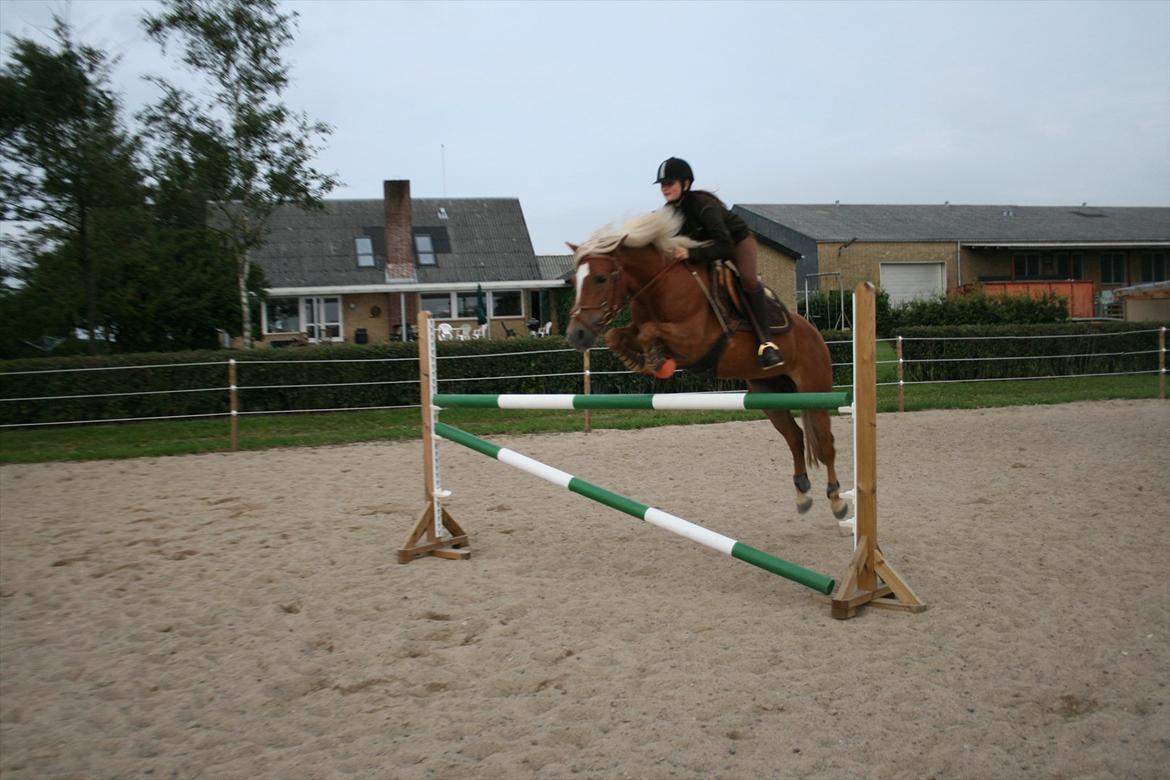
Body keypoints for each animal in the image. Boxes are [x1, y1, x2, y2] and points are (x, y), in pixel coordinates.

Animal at [561, 210, 847, 521]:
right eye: (575, 281)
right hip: (767, 391)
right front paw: (640, 359)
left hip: (815, 389)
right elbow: (618, 335)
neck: (659, 285)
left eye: (600, 278)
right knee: (795, 437)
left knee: (827, 444)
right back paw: (802, 493)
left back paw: (837, 500)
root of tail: (815, 333)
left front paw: (655, 361)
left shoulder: (694, 341)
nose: (576, 334)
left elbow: (650, 331)